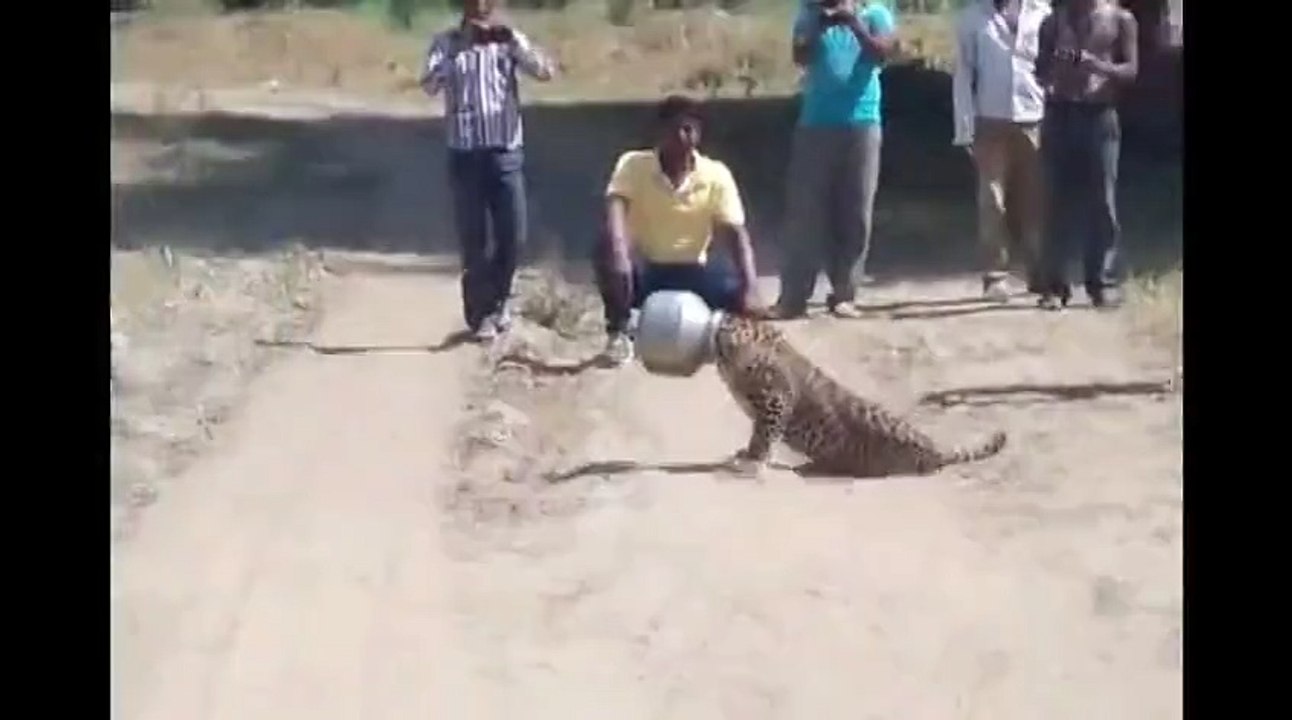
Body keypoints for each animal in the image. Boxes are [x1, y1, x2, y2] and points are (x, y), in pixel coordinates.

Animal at [709, 311, 1007, 479]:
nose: (719, 331)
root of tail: (936, 448)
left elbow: (764, 434)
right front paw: (748, 454)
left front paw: (752, 459)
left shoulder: (776, 401)